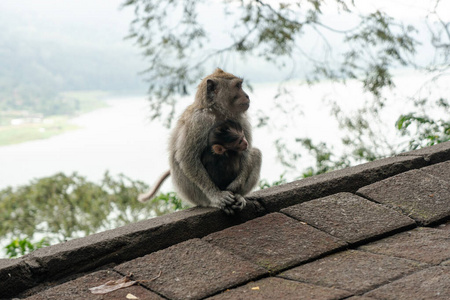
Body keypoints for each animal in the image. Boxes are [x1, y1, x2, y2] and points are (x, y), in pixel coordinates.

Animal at [170, 68, 262, 213]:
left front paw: (237, 186)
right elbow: (187, 158)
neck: (218, 111)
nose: (247, 96)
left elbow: (246, 151)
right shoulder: (199, 121)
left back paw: (238, 195)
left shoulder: (241, 120)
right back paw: (212, 201)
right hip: (194, 194)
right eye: (238, 86)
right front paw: (216, 196)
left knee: (256, 154)